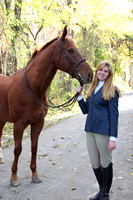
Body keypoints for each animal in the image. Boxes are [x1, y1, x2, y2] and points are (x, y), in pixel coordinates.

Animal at [0, 25, 93, 187]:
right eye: (71, 50)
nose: (90, 74)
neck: (32, 88)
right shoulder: (19, 125)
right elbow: (17, 149)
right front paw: (14, 177)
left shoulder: (38, 123)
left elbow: (34, 148)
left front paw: (35, 174)